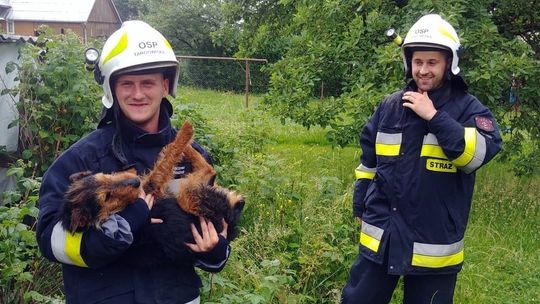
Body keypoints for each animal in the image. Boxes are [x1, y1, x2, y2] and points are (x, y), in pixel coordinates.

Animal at [35, 20, 230, 302]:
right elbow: (165, 161)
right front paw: (180, 137)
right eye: (105, 198)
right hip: (189, 194)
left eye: (103, 176)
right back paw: (186, 135)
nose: (134, 181)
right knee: (206, 168)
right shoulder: (153, 185)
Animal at [344, 14, 504, 304]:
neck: (433, 91)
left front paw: (425, 107)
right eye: (419, 62)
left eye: (431, 63)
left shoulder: (481, 121)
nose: (420, 75)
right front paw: (361, 213)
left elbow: (482, 144)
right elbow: (369, 156)